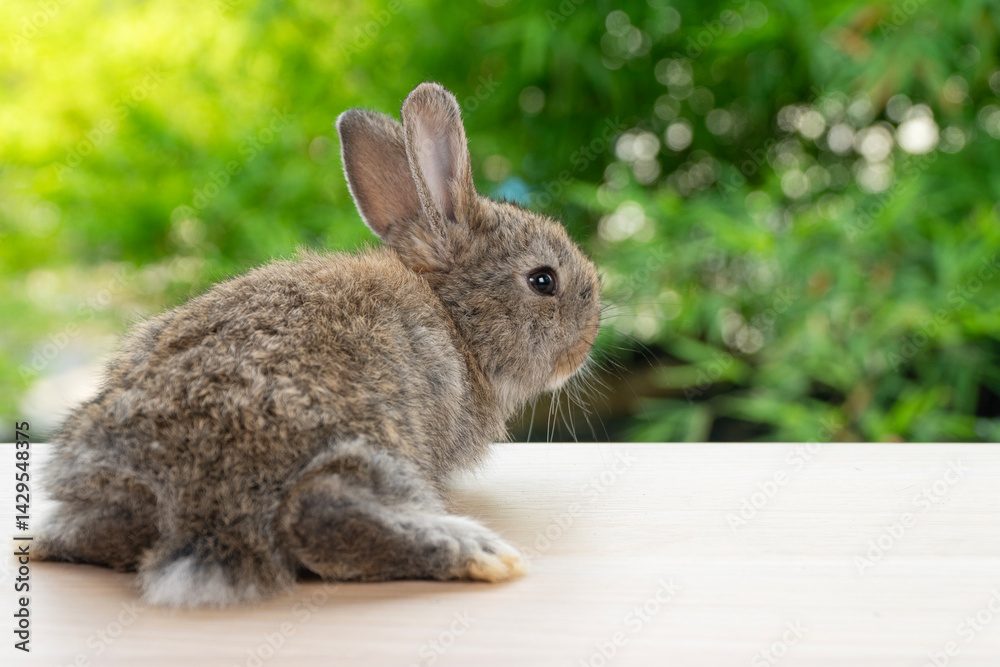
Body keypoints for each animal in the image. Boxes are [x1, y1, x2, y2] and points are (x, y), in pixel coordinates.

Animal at [36, 82, 602, 607]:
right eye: (544, 281)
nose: (590, 336)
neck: (455, 320)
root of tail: (201, 503)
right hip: (364, 443)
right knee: (321, 512)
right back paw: (481, 553)